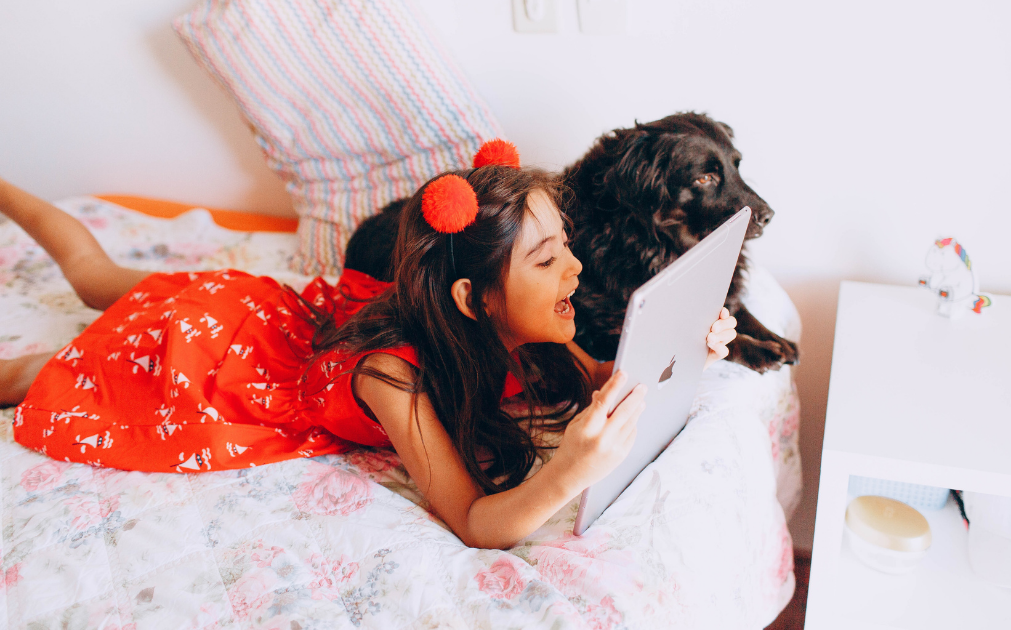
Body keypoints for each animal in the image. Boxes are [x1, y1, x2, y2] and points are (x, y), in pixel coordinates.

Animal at [345, 111, 796, 372]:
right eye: (704, 177)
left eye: (737, 167)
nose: (769, 216)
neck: (646, 240)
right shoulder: (599, 334)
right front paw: (758, 350)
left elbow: (737, 309)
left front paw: (774, 337)